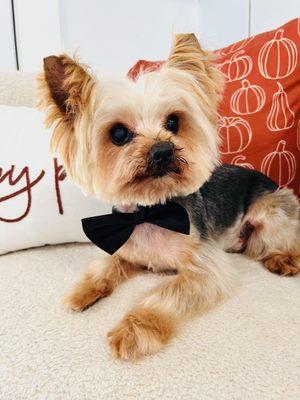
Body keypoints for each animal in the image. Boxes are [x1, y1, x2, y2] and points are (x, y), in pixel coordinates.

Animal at [37, 33, 300, 360]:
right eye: (119, 133)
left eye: (173, 122)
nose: (163, 150)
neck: (148, 213)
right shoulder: (123, 247)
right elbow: (103, 267)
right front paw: (82, 291)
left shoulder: (204, 268)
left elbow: (164, 296)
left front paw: (133, 331)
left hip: (270, 210)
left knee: (284, 238)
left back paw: (283, 259)